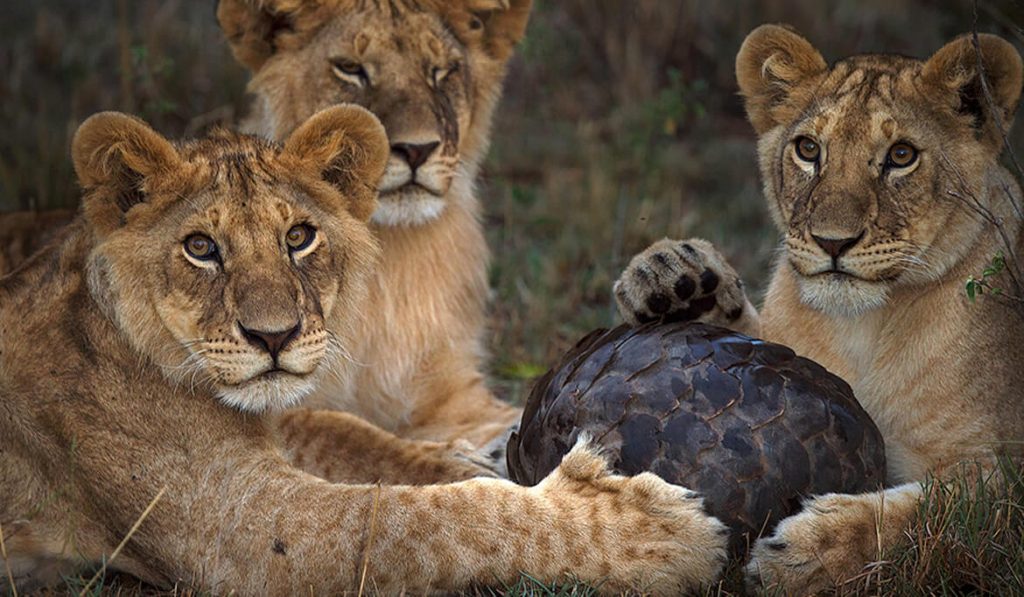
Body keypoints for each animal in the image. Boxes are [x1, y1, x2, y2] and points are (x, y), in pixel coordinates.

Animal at [0, 104, 729, 593]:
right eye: (200, 248)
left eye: (299, 237)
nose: (275, 336)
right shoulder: (241, 534)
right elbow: (412, 522)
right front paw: (650, 529)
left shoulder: (276, 427)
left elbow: (362, 439)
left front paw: (479, 462)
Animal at [217, 0, 536, 448]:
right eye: (351, 69)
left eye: (441, 71)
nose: (417, 149)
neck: (386, 264)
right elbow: (348, 430)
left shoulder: (453, 391)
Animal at [610, 25, 1019, 593]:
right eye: (808, 149)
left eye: (901, 155)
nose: (833, 241)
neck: (864, 326)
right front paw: (670, 276)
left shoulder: (1001, 477)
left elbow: (925, 511)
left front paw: (806, 555)